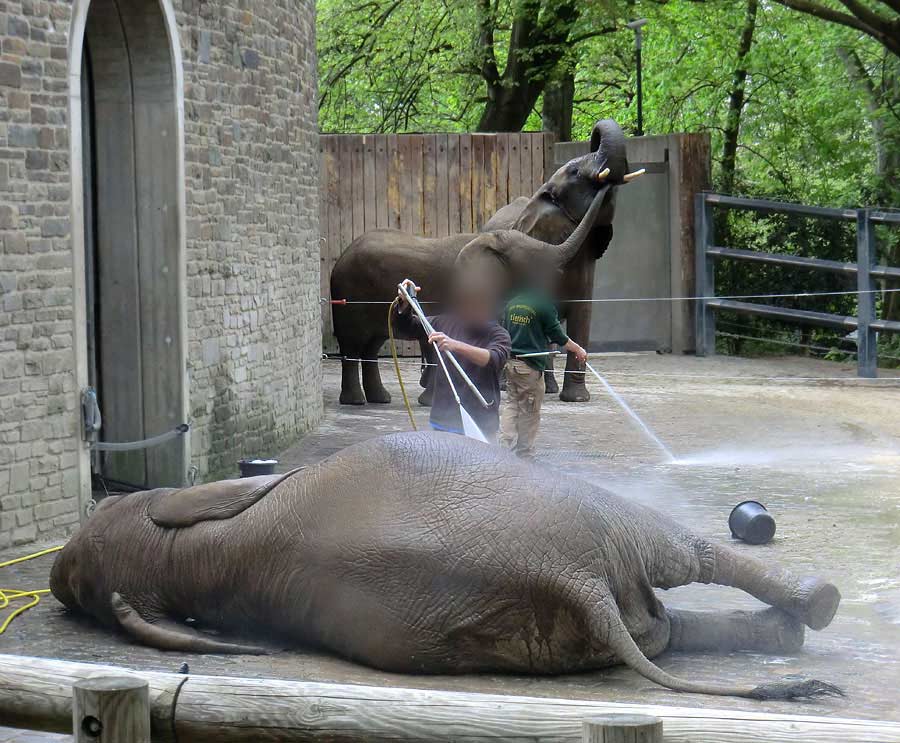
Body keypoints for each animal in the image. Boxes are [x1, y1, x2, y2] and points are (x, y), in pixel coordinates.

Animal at [52, 434, 844, 700]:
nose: (56, 581)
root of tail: (578, 583)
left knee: (672, 600)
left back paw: (806, 619)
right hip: (574, 535)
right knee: (679, 573)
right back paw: (812, 611)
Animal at [330, 119, 632, 406]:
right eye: (575, 173)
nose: (606, 185)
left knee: (371, 346)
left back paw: (379, 399)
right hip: (347, 297)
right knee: (352, 348)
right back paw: (356, 401)